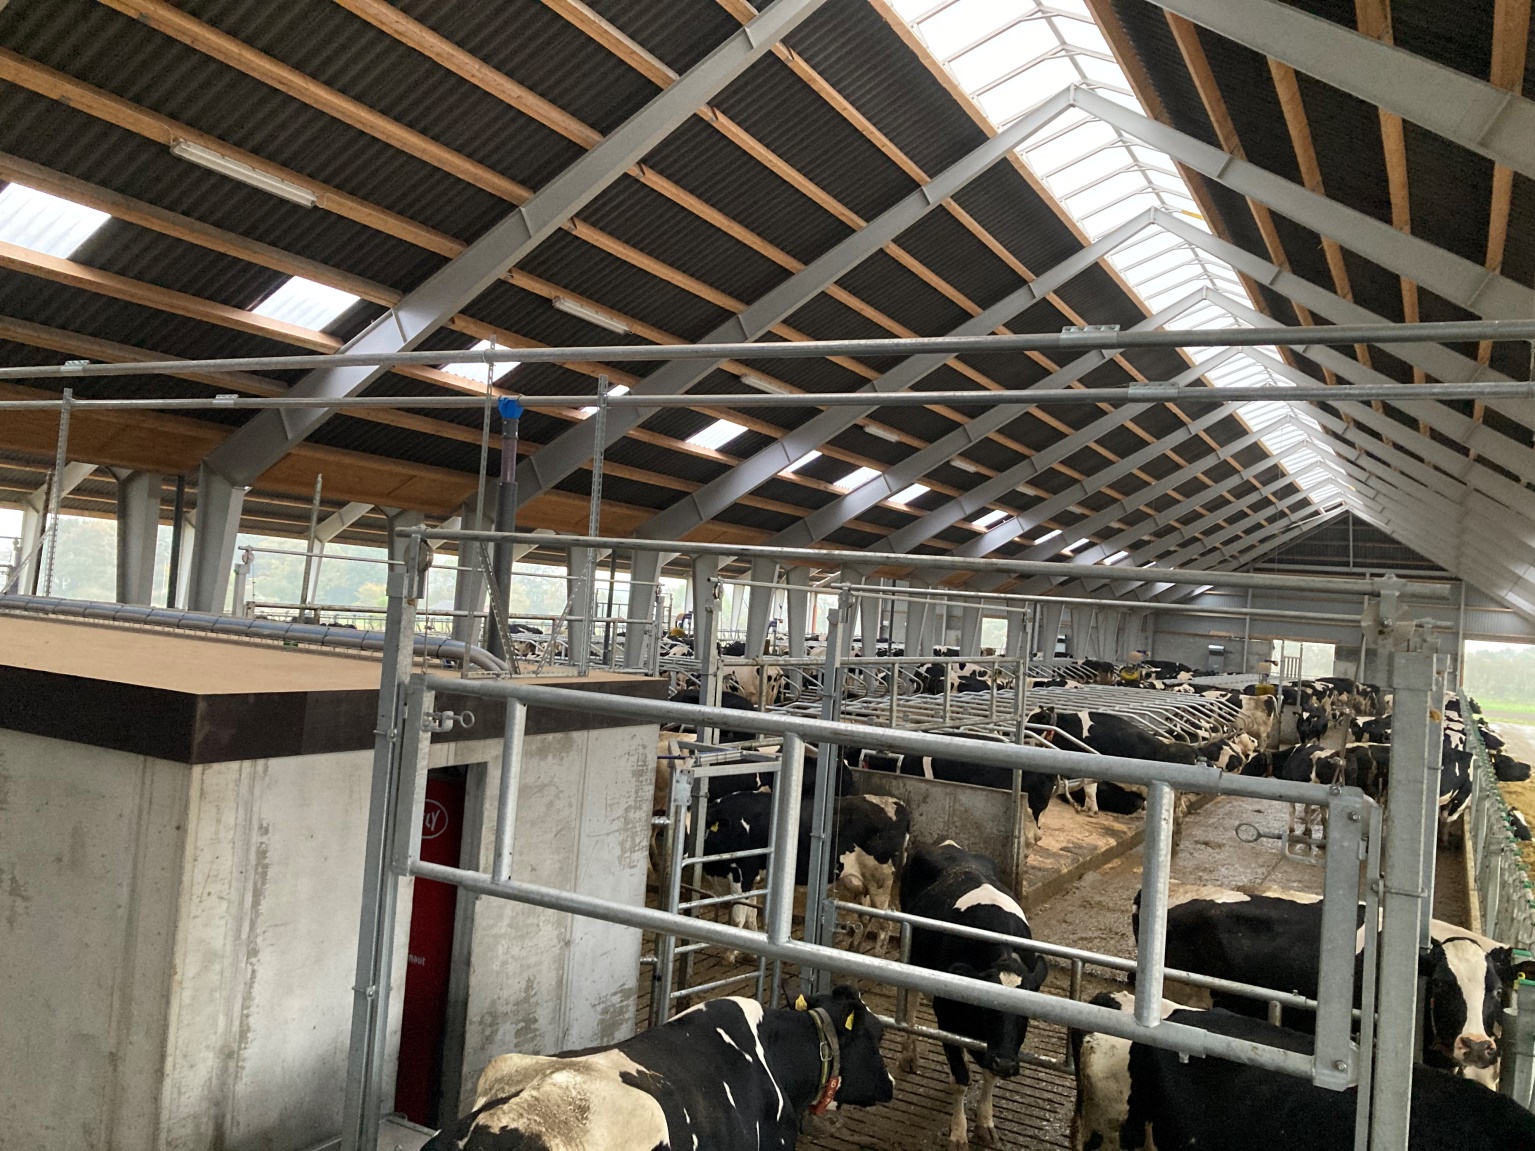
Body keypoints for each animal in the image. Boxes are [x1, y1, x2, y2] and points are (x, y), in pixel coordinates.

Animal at [898, 841, 1049, 1149]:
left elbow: (988, 1075)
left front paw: (985, 1123)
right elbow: (960, 1078)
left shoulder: (997, 1046)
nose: (1006, 1064)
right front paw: (958, 1134)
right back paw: (909, 1054)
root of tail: (948, 844)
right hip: (912, 954)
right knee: (912, 999)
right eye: (987, 1008)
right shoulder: (946, 1015)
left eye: (1026, 1014)